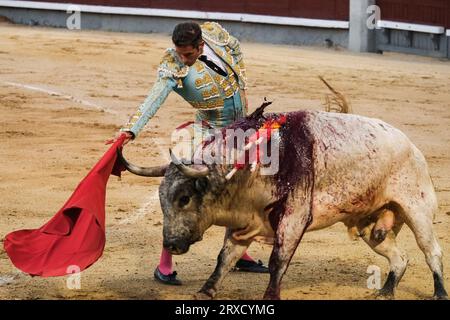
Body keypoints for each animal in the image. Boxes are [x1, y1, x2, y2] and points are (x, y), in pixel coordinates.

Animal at [118, 105, 448, 300]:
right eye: (162, 200)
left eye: (184, 198)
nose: (171, 243)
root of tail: (413, 148)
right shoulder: (243, 221)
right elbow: (225, 258)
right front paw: (206, 291)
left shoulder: (294, 217)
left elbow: (278, 259)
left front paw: (270, 296)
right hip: (370, 225)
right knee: (399, 257)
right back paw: (385, 292)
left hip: (417, 209)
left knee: (431, 251)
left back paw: (439, 292)